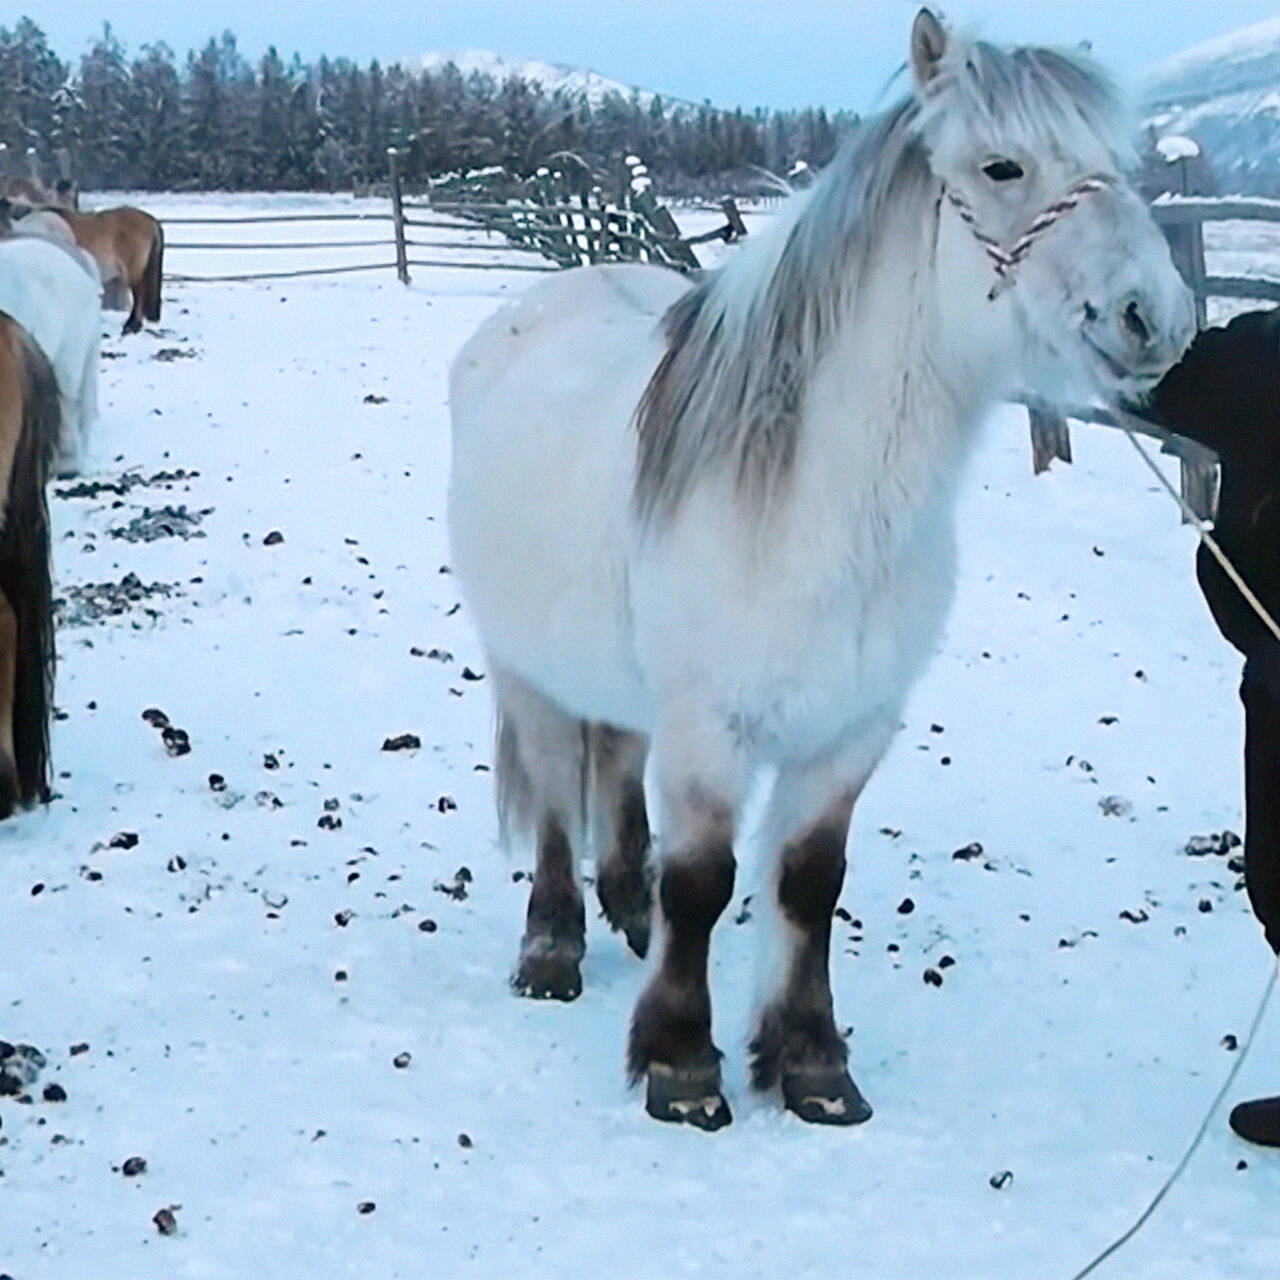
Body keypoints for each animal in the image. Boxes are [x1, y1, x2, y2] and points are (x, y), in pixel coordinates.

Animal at [445, 10, 1192, 1131]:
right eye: (1002, 166)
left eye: (1118, 161)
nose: (1157, 319)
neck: (816, 505)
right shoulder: (710, 731)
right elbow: (704, 884)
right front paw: (681, 1065)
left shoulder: (851, 730)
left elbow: (806, 884)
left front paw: (810, 1064)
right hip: (525, 664)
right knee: (551, 797)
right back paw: (552, 947)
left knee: (611, 765)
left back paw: (625, 905)